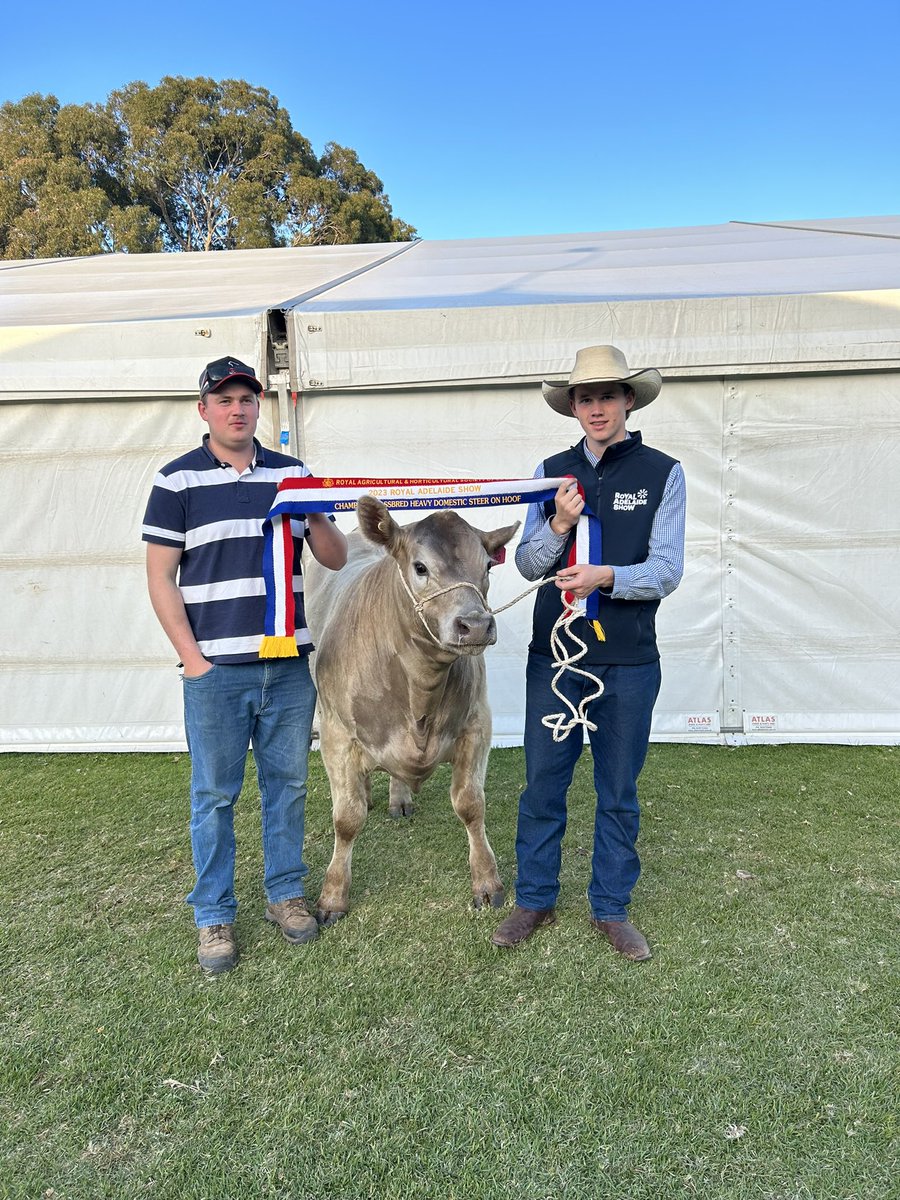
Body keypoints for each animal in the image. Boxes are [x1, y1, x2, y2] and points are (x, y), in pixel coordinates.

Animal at [304, 494, 519, 926]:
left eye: (487, 566)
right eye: (420, 567)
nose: (475, 624)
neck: (420, 690)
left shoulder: (478, 724)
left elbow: (471, 805)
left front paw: (487, 882)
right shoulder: (335, 733)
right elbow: (346, 818)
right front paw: (333, 896)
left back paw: (399, 798)